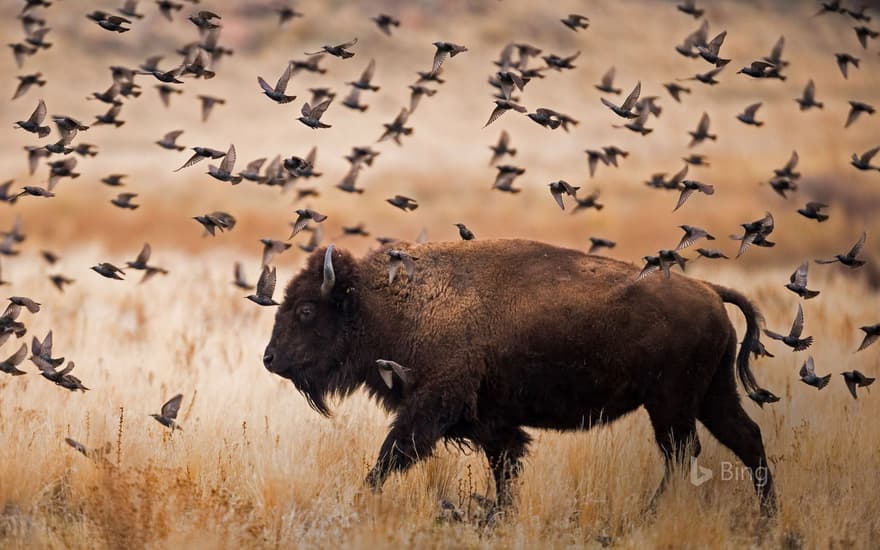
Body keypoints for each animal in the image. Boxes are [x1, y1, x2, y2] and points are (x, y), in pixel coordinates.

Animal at [262, 239, 776, 516]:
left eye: (306, 309)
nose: (270, 359)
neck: (386, 303)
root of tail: (709, 290)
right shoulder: (491, 421)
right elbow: (505, 465)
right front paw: (499, 515)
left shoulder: (431, 406)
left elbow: (392, 454)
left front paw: (360, 499)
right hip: (710, 395)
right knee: (745, 438)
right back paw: (766, 517)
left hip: (671, 403)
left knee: (683, 452)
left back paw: (651, 514)